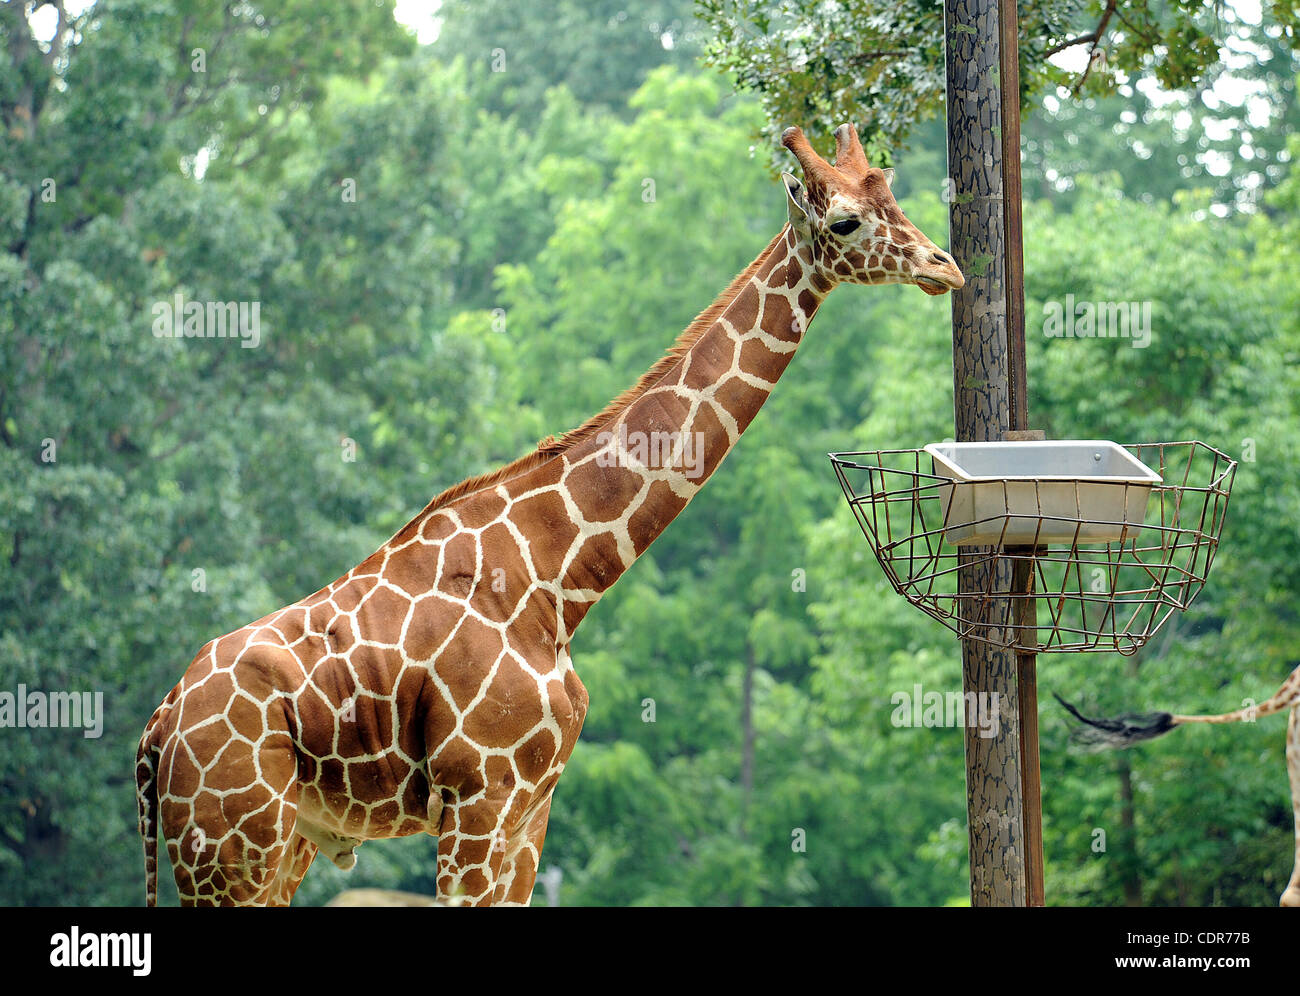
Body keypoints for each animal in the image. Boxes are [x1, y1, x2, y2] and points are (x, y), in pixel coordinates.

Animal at [134, 122, 967, 904]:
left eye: (894, 195)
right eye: (847, 222)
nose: (945, 267)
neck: (560, 576)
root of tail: (156, 731)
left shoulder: (532, 805)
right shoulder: (479, 793)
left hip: (284, 845)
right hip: (235, 842)